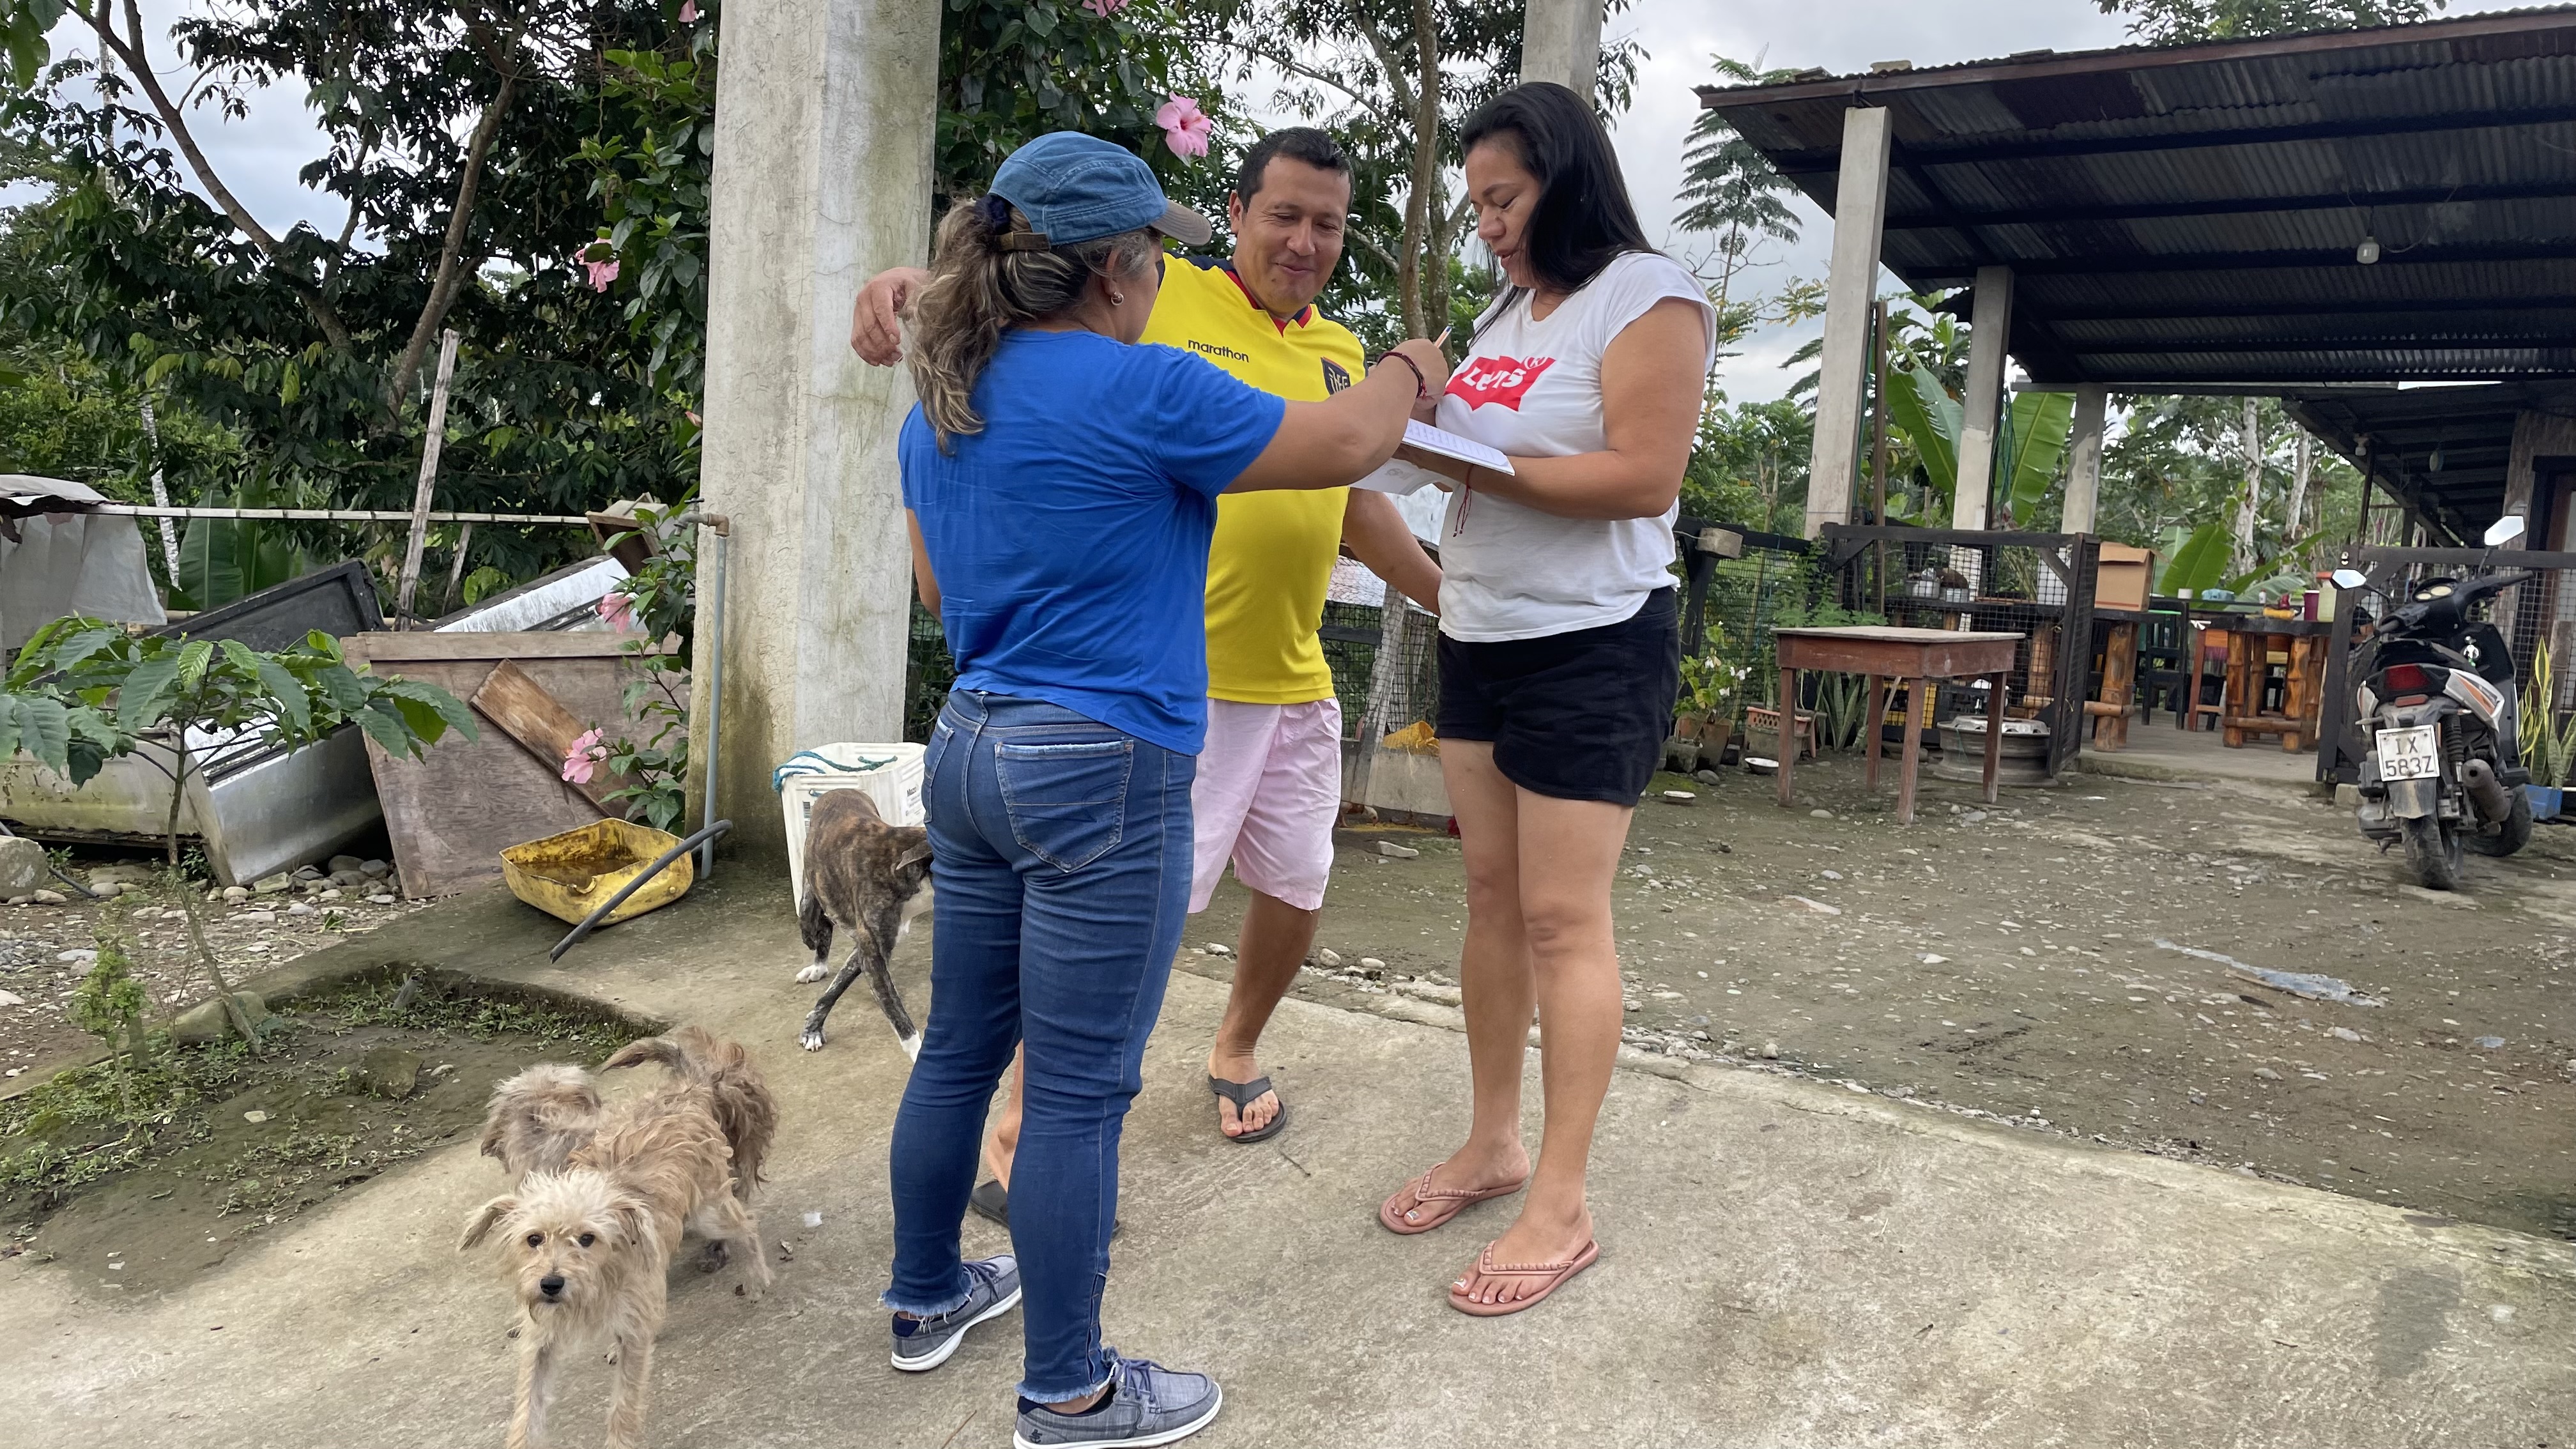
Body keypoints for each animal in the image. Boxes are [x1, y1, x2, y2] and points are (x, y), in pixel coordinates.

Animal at [463, 1028, 776, 1449]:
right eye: (533, 1239)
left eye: (587, 1239)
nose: (550, 1284)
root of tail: (685, 1093)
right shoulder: (541, 1340)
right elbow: (527, 1410)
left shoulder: (634, 1327)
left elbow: (623, 1407)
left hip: (709, 1212)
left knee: (748, 1224)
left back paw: (755, 1278)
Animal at [795, 787, 932, 1055]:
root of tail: (837, 789)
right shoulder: (872, 953)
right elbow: (901, 1020)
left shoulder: (869, 948)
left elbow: (837, 987)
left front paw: (813, 1026)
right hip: (808, 905)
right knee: (814, 931)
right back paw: (817, 966)